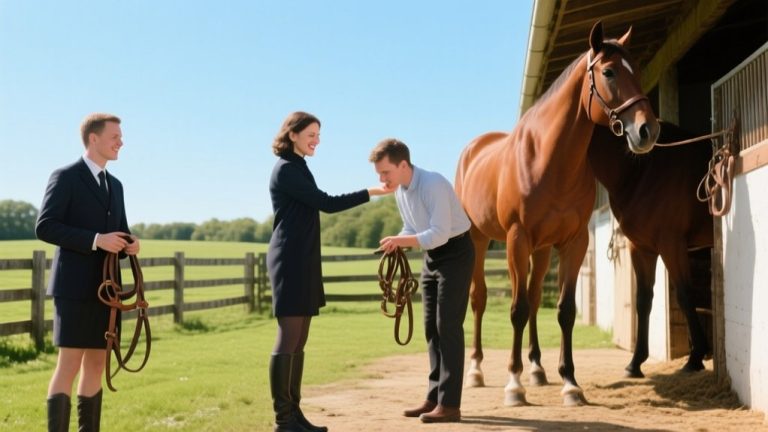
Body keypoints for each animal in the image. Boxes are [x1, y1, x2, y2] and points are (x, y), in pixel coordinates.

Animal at [454, 21, 660, 407]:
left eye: (637, 72)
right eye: (609, 72)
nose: (648, 131)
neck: (549, 160)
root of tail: (473, 150)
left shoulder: (572, 242)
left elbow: (563, 310)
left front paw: (570, 383)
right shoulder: (517, 239)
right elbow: (516, 309)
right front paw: (513, 385)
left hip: (541, 249)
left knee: (535, 299)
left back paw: (536, 369)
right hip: (480, 240)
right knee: (481, 299)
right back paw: (475, 370)